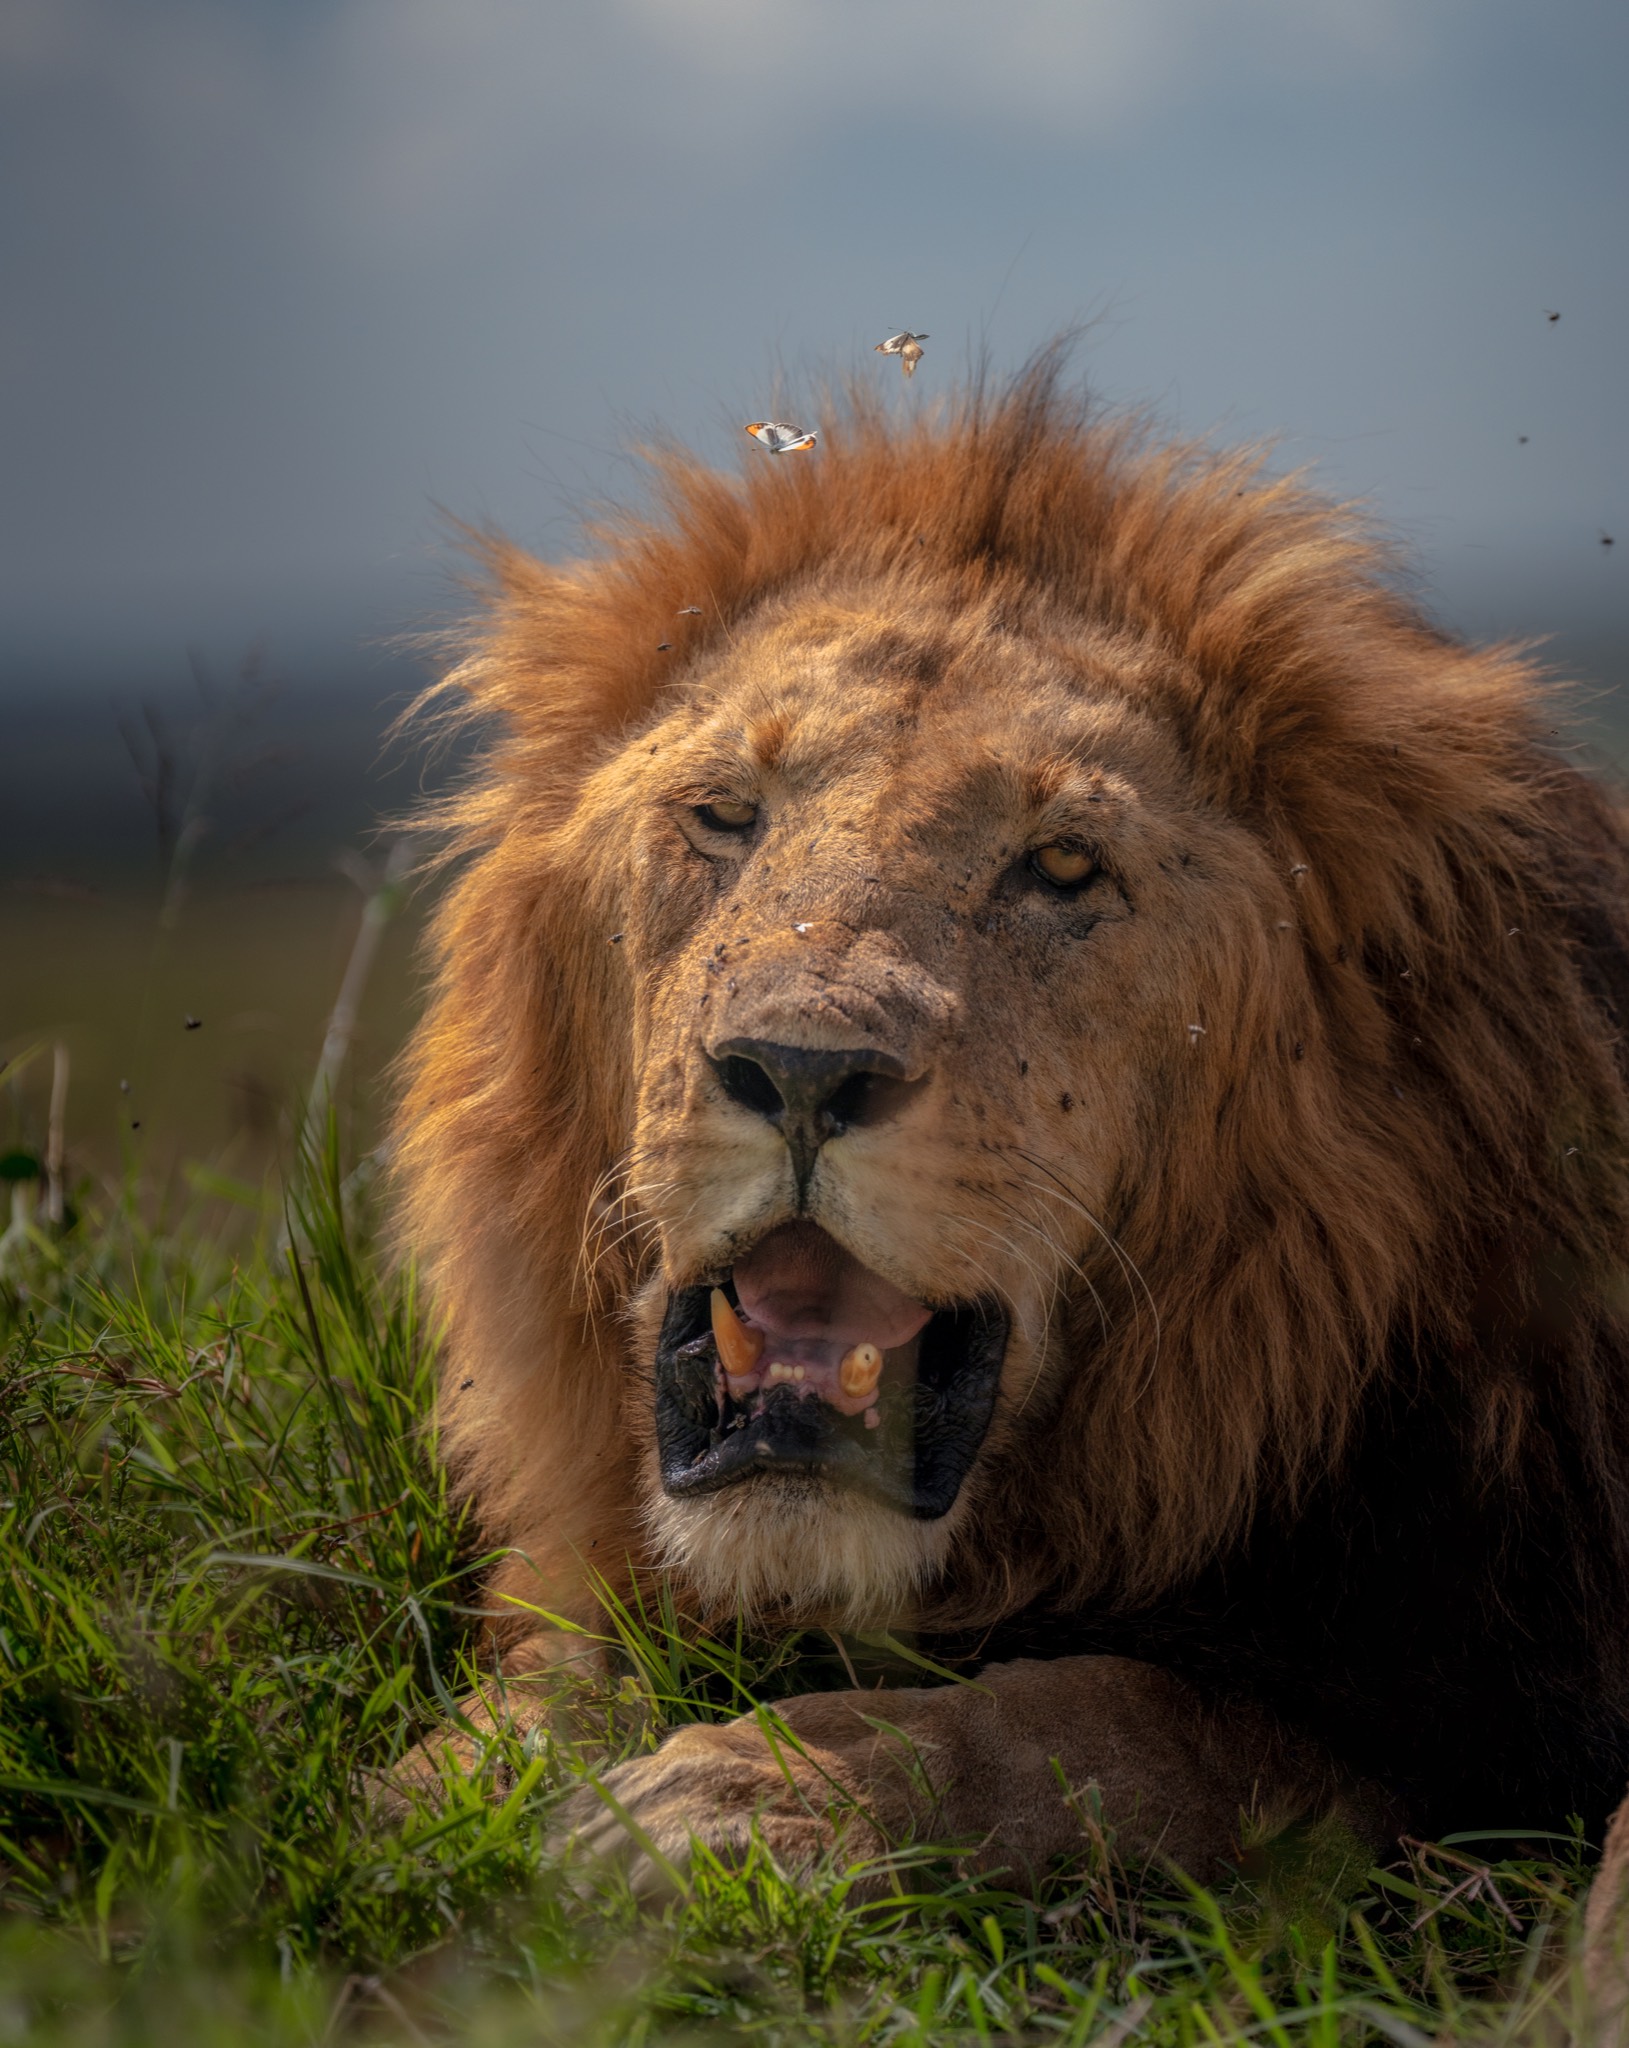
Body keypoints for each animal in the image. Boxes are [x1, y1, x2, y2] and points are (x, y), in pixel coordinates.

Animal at [395, 353, 1629, 1920]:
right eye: (724, 814)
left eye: (1062, 865)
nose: (800, 1069)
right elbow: (556, 1660)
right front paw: (459, 1771)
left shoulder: (1466, 1729)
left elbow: (1100, 1721)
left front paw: (741, 1800)